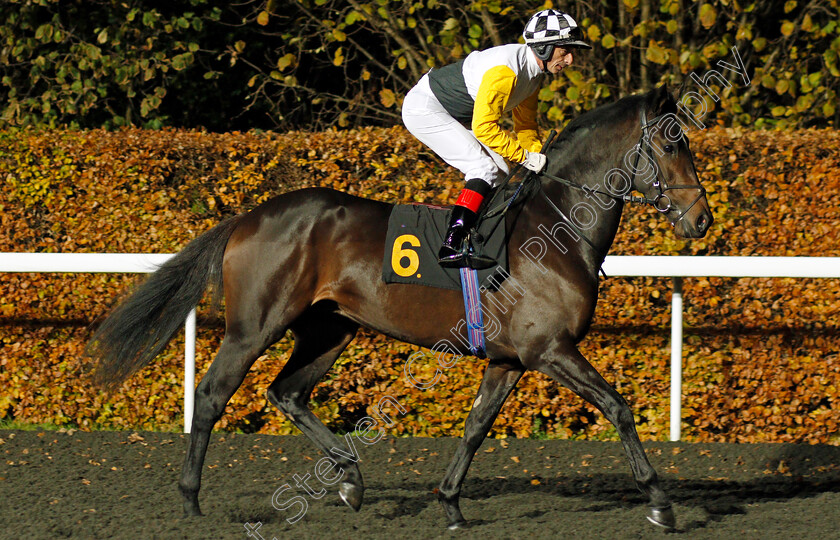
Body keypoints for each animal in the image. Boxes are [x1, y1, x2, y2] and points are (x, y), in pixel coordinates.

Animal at [88, 86, 712, 528]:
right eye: (673, 143)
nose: (702, 219)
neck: (555, 229)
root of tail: (249, 216)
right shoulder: (550, 350)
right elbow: (619, 407)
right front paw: (660, 502)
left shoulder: (510, 358)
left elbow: (476, 426)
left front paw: (452, 504)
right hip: (255, 325)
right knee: (213, 393)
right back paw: (191, 500)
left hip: (331, 328)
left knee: (287, 392)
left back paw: (349, 480)